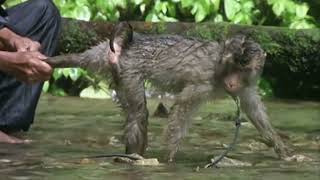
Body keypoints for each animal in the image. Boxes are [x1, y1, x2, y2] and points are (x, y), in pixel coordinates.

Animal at [46, 22, 292, 162]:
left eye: (244, 69)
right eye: (233, 65)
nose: (232, 83)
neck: (220, 70)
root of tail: (128, 44)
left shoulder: (247, 86)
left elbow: (254, 110)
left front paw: (282, 151)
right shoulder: (203, 83)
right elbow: (181, 111)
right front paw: (169, 160)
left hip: (117, 70)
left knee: (133, 112)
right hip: (130, 70)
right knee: (138, 114)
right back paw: (135, 156)